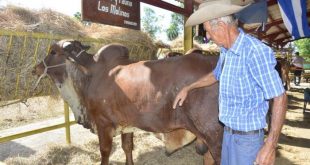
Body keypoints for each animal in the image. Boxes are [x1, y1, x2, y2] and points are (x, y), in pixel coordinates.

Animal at [33, 40, 223, 165]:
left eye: (53, 52)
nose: (36, 68)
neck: (89, 74)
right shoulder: (127, 125)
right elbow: (127, 147)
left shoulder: (103, 124)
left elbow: (105, 152)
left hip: (215, 137)